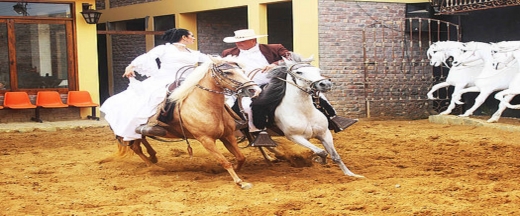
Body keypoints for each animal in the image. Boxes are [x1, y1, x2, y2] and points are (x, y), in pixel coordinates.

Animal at [105, 56, 262, 189]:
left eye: (242, 71)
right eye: (228, 72)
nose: (254, 90)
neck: (203, 104)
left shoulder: (227, 136)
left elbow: (241, 157)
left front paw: (235, 170)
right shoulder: (206, 140)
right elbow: (224, 161)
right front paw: (240, 182)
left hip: (136, 133)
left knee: (141, 140)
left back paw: (153, 156)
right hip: (127, 132)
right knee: (136, 147)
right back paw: (153, 166)